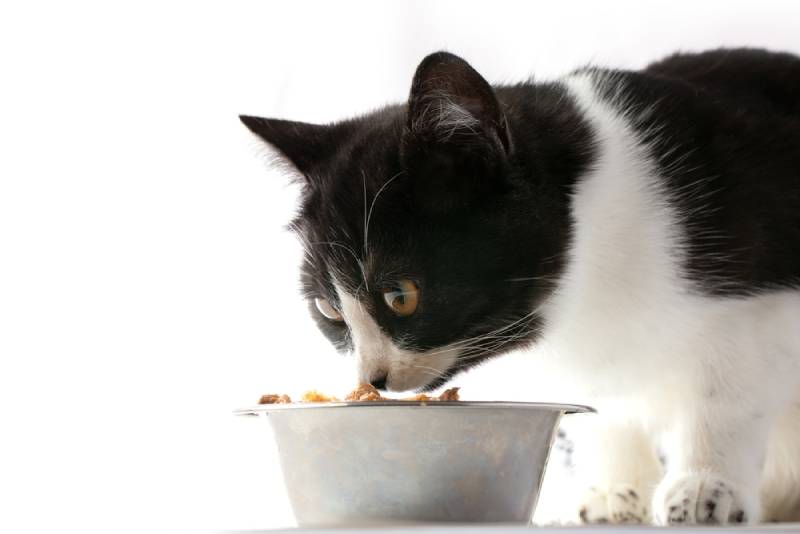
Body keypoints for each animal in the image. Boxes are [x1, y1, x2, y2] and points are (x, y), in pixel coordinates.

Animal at [244, 50, 800, 528]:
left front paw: (706, 487)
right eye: (328, 309)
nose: (372, 379)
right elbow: (601, 402)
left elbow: (727, 395)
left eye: (400, 295)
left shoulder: (756, 296)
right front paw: (615, 490)